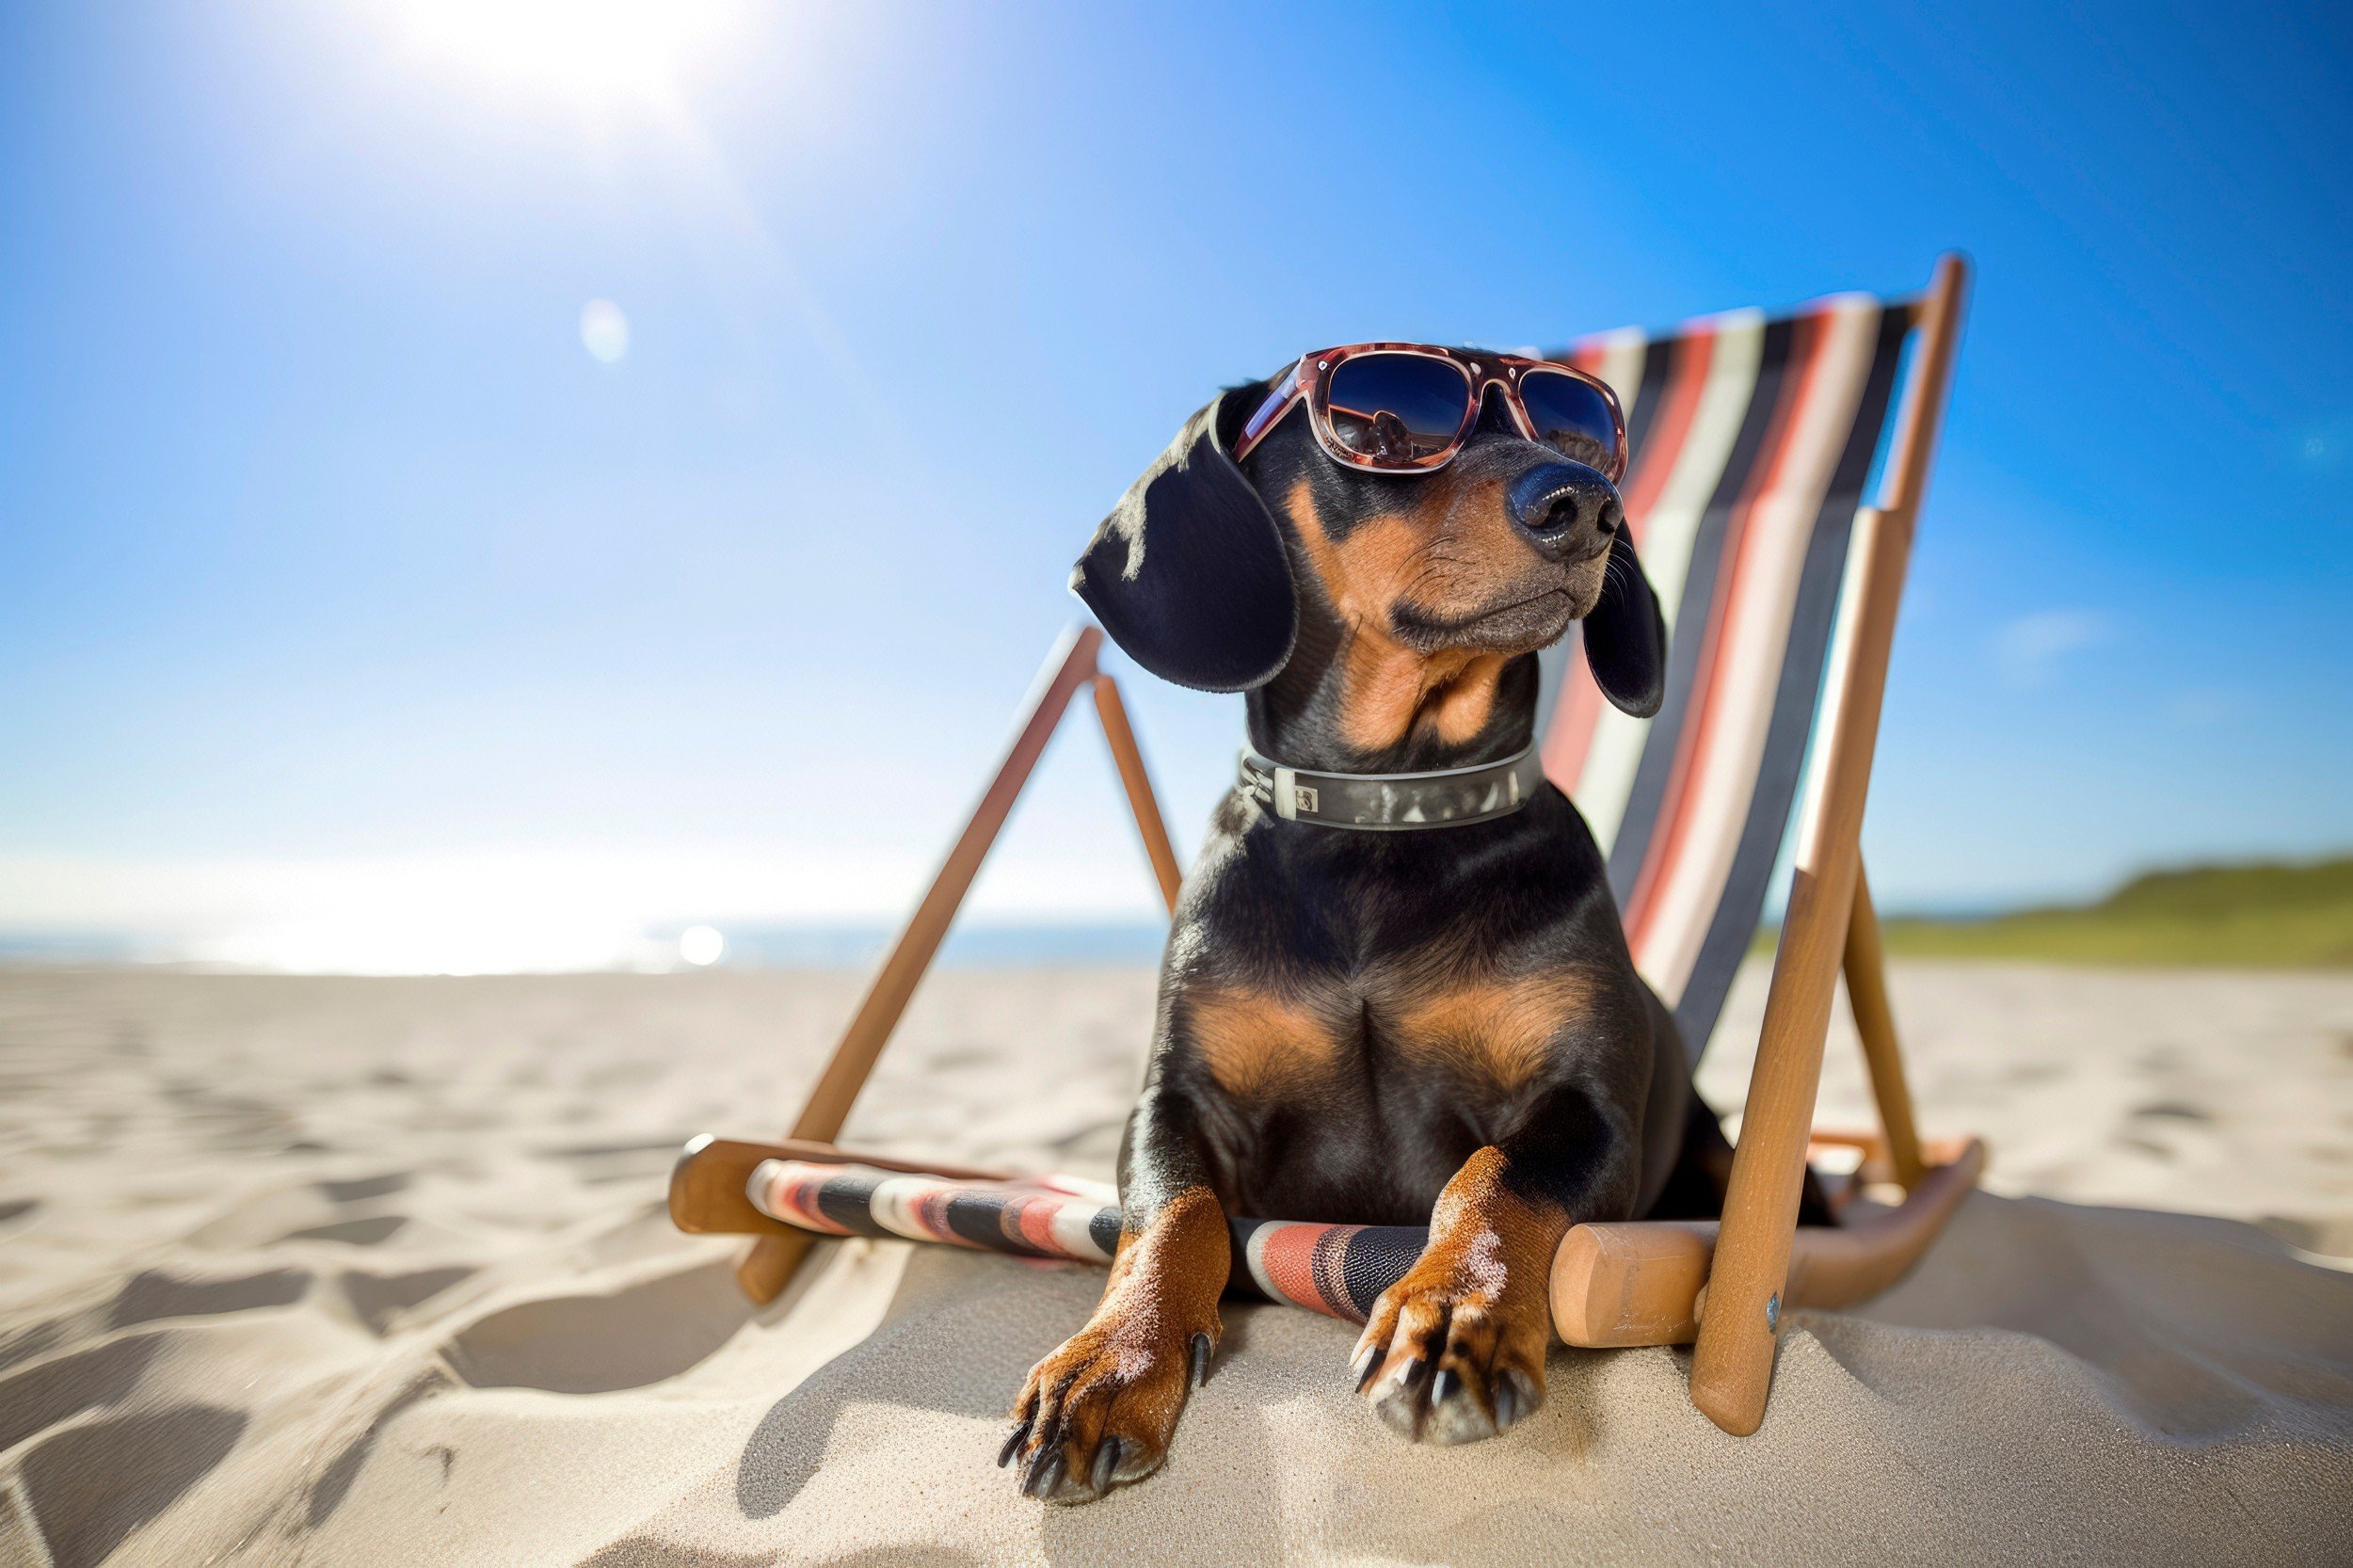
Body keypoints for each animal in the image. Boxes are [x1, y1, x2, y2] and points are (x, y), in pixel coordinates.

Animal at [998, 360, 1769, 1496]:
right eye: (1384, 423)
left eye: (1581, 433)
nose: (1583, 503)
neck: (1387, 813)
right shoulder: (1175, 1100)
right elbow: (1172, 1212)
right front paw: (1114, 1359)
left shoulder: (1587, 1110)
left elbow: (1491, 1175)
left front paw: (1455, 1314)